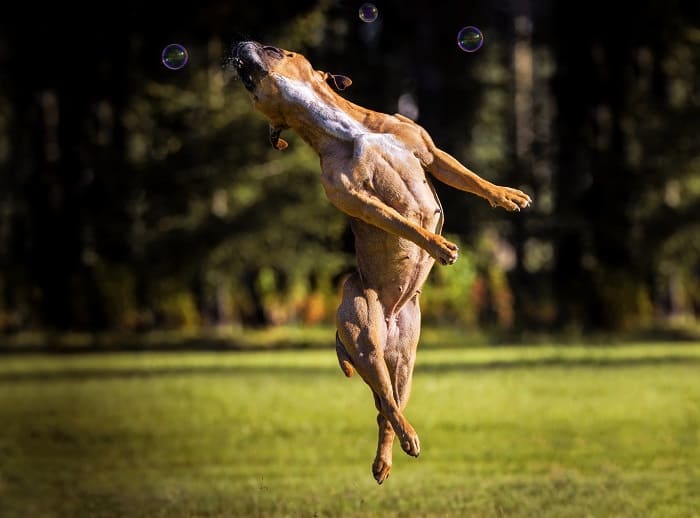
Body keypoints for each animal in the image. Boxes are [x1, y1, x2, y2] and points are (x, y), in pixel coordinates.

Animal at [230, 41, 532, 488]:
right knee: (387, 404)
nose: (237, 45)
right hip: (363, 334)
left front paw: (505, 195)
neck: (348, 129)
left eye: (275, 49)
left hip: (403, 361)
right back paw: (407, 440)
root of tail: (388, 318)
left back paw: (385, 459)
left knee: (386, 407)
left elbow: (470, 178)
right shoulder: (359, 200)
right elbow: (405, 223)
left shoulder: (430, 153)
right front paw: (438, 246)